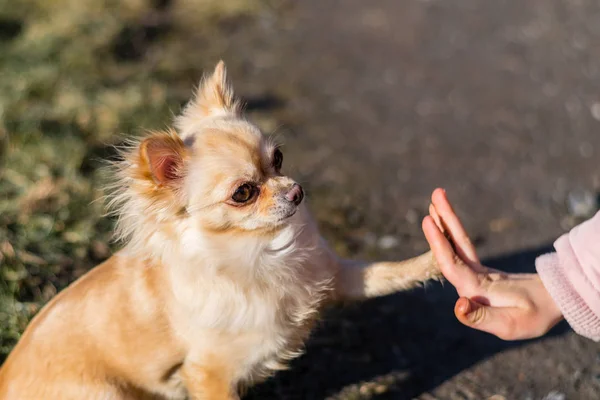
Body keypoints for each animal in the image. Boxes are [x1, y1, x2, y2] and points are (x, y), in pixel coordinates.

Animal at [0, 61, 440, 398]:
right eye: (243, 193)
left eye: (279, 159)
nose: (296, 191)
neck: (262, 251)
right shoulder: (207, 374)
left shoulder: (340, 279)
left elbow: (389, 273)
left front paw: (440, 257)